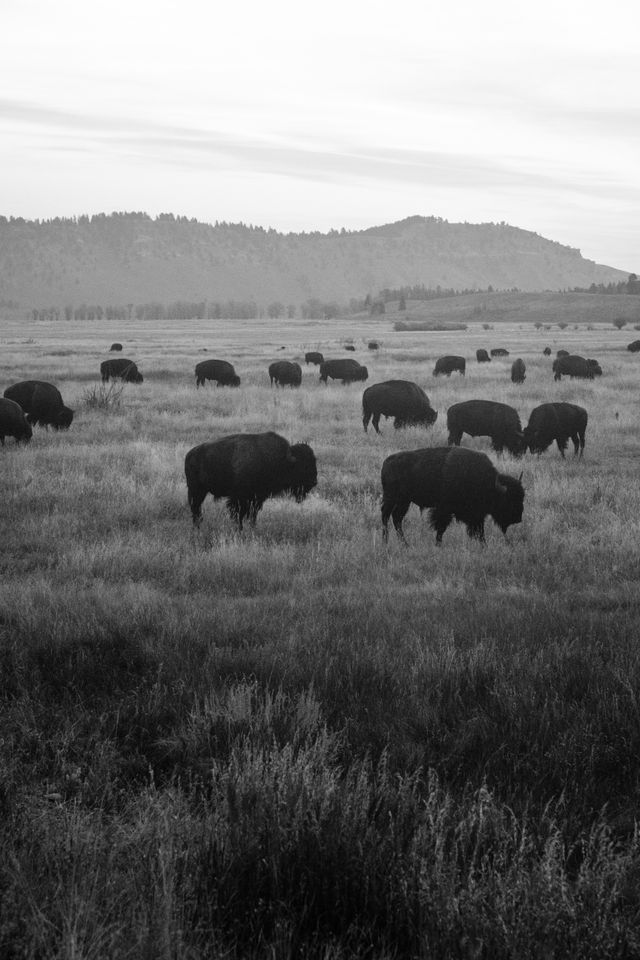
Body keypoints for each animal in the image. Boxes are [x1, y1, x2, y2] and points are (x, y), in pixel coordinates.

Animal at [184, 432, 316, 528]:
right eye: (304, 466)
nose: (314, 482)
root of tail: (190, 454)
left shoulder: (257, 498)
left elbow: (252, 515)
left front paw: (252, 527)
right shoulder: (239, 498)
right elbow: (238, 514)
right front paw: (239, 528)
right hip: (196, 490)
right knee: (195, 508)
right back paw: (197, 526)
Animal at [380, 446, 524, 544]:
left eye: (522, 497)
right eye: (508, 500)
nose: (518, 518)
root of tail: (387, 462)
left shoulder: (476, 515)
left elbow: (480, 532)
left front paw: (484, 546)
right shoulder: (444, 510)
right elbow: (441, 528)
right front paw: (438, 545)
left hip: (404, 501)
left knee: (397, 518)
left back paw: (404, 544)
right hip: (391, 498)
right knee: (386, 516)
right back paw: (385, 541)